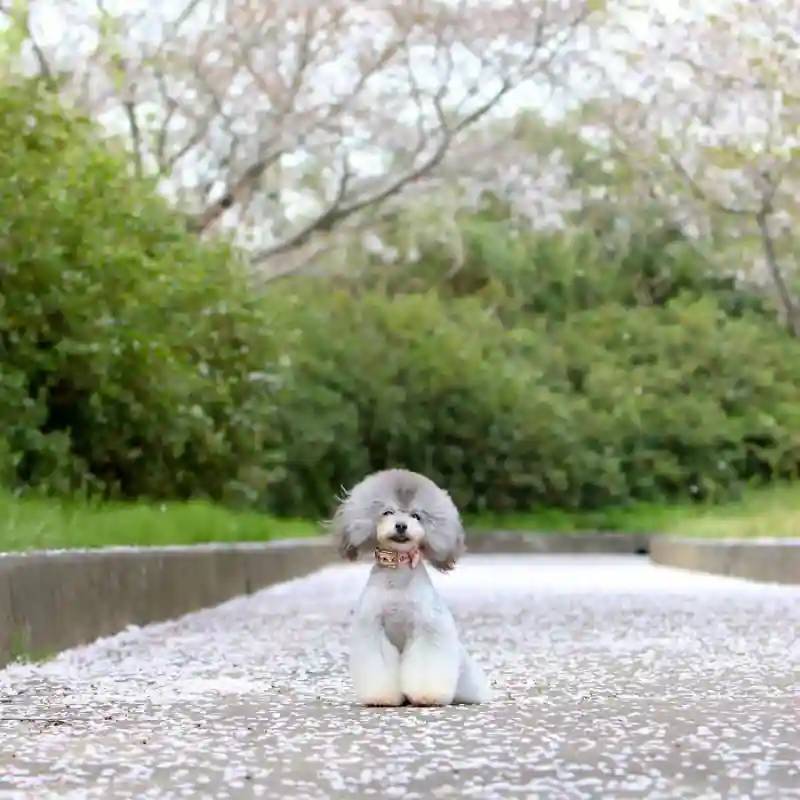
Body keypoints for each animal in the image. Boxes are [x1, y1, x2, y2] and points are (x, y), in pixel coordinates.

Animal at [328, 468, 490, 708]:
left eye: (416, 516)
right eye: (387, 512)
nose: (401, 526)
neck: (398, 578)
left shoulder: (427, 628)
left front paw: (428, 696)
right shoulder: (374, 630)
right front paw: (381, 697)